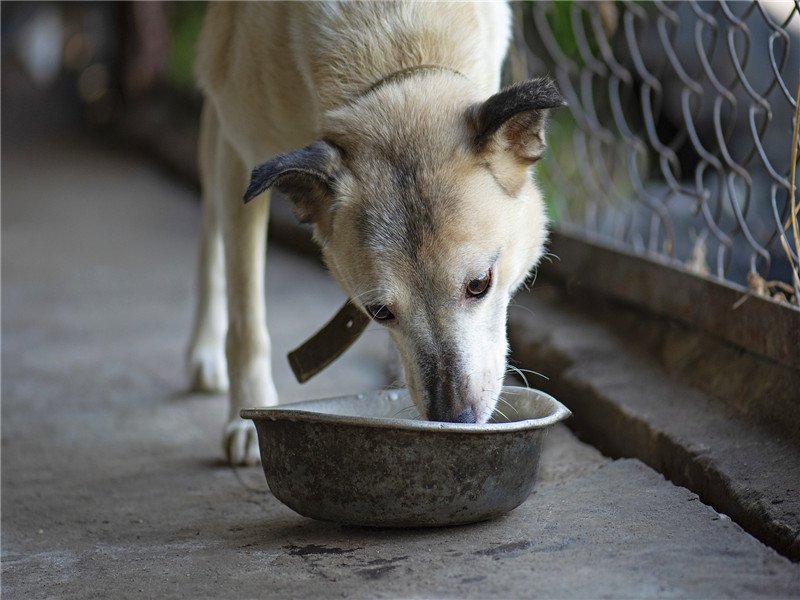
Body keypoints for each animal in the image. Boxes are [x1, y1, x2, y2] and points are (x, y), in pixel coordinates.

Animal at [187, 1, 564, 464]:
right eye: (379, 312)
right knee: (210, 230)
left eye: (479, 284)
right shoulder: (240, 152)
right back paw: (204, 350)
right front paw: (246, 414)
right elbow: (246, 319)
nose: (455, 419)